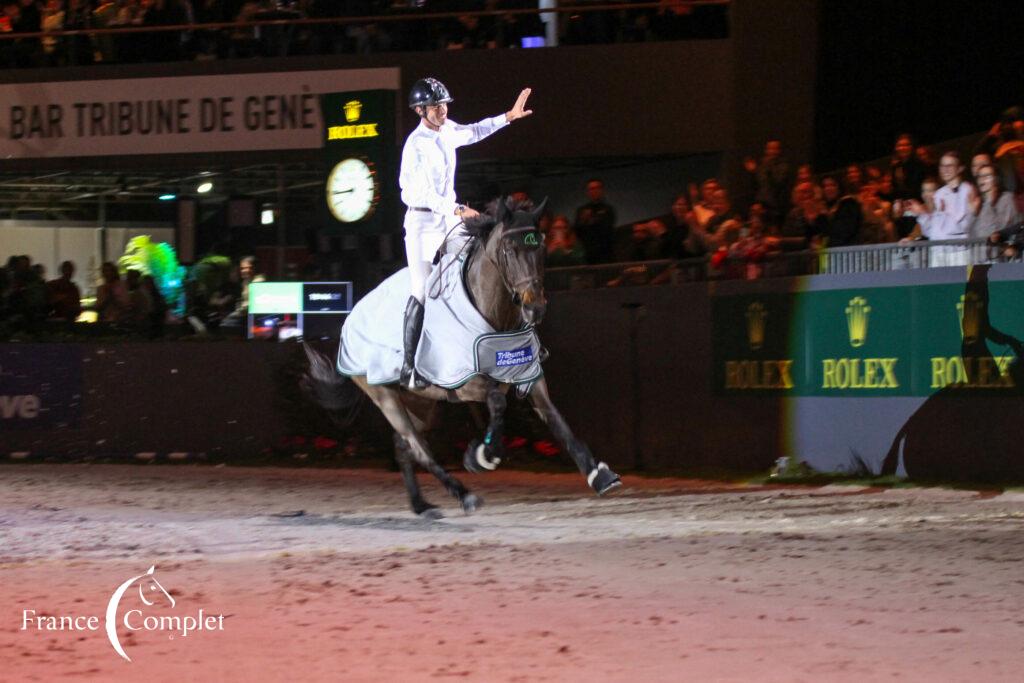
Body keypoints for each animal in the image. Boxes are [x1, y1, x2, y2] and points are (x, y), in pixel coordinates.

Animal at [303, 197, 618, 518]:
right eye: (508, 250)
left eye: (540, 247)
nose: (535, 308)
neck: (496, 316)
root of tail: (351, 317)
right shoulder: (465, 382)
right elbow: (498, 402)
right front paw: (482, 456)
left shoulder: (529, 375)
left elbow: (557, 420)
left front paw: (600, 475)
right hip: (383, 394)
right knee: (417, 447)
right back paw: (463, 495)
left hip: (419, 402)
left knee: (404, 446)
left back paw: (421, 505)